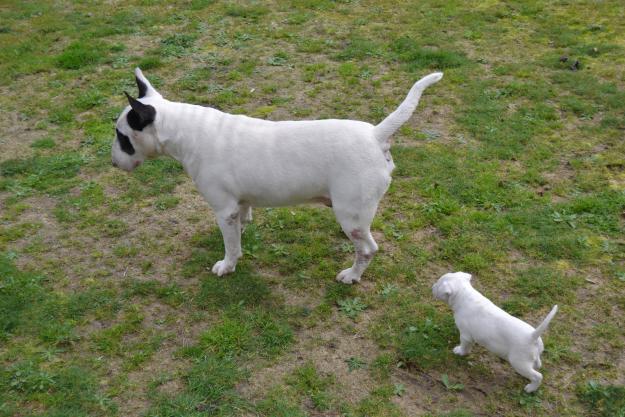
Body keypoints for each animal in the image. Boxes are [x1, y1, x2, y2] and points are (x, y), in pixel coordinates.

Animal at [113, 68, 444, 282]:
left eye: (122, 136)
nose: (113, 163)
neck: (186, 131)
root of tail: (376, 135)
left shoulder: (224, 209)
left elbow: (231, 245)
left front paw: (227, 265)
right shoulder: (238, 203)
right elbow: (242, 222)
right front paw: (243, 231)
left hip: (351, 215)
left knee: (368, 249)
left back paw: (352, 276)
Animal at [432, 272, 560, 392]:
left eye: (438, 283)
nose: (432, 287)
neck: (464, 295)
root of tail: (532, 336)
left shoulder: (465, 335)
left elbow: (464, 346)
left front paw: (460, 352)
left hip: (519, 361)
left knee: (538, 376)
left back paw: (530, 388)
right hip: (532, 357)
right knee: (537, 364)